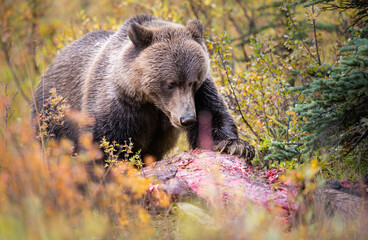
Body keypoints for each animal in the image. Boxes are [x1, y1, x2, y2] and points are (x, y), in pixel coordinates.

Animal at [30, 14, 256, 161]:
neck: (150, 101)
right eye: (170, 83)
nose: (187, 119)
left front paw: (236, 146)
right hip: (52, 114)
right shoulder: (117, 103)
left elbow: (212, 116)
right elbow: (102, 143)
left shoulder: (200, 94)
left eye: (193, 81)